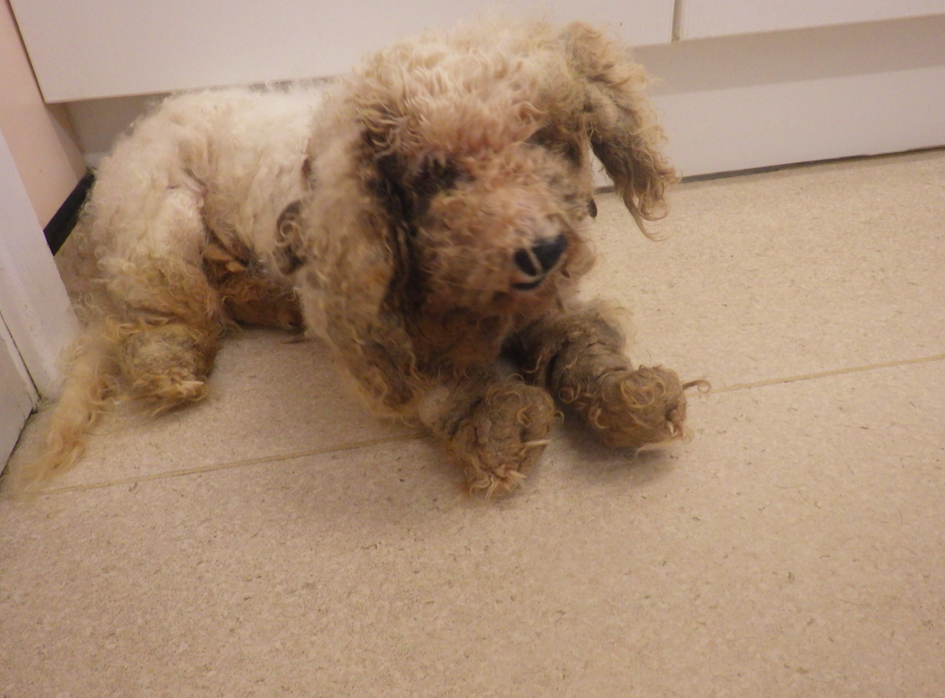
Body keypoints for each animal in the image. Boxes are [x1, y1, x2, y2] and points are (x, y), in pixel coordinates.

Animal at [7, 16, 700, 494]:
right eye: (437, 175)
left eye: (544, 138)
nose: (544, 249)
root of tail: (113, 157)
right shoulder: (377, 340)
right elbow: (446, 388)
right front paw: (500, 420)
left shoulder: (550, 305)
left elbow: (581, 344)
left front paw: (631, 398)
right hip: (161, 228)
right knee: (161, 318)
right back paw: (171, 371)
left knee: (227, 290)